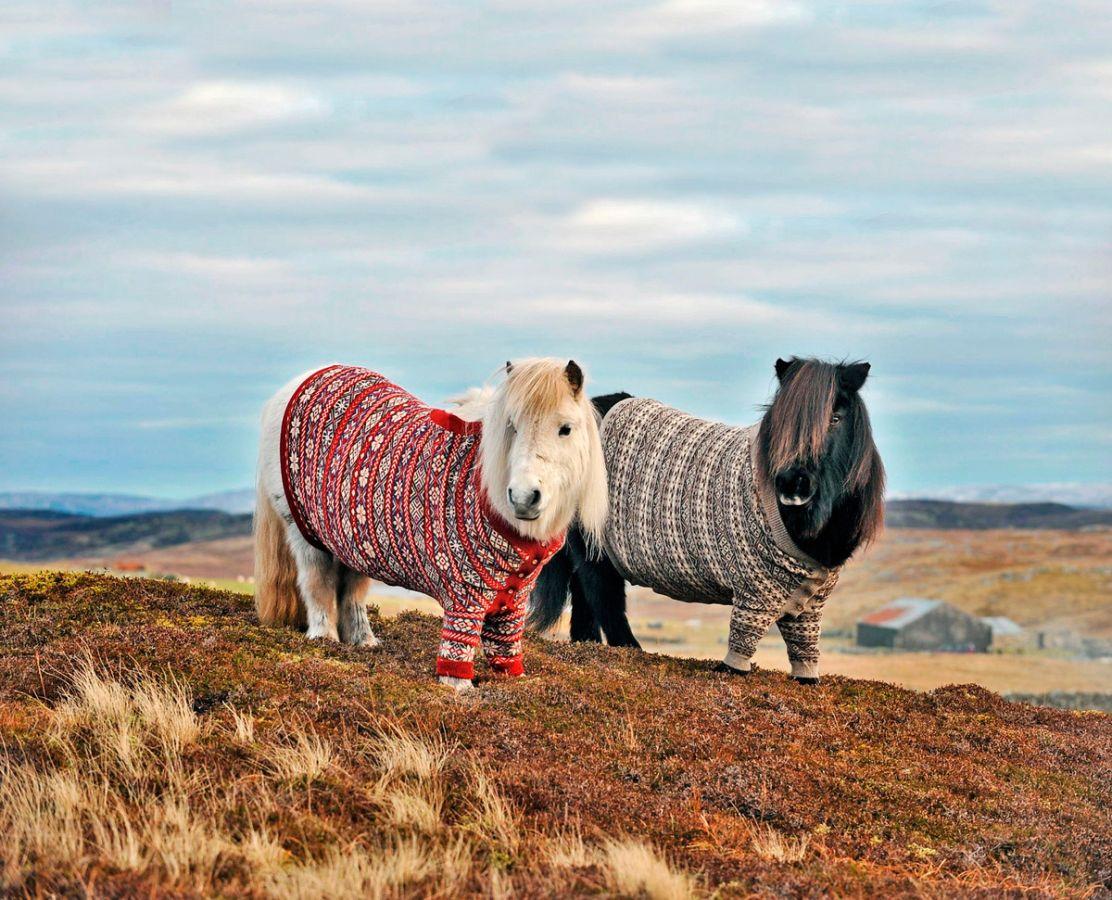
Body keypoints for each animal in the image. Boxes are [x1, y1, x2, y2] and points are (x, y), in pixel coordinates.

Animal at [254, 355, 609, 689]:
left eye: (566, 428)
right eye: (512, 426)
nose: (523, 497)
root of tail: (302, 381)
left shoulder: (513, 600)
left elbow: (505, 648)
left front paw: (513, 681)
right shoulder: (464, 595)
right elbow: (458, 649)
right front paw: (460, 688)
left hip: (351, 539)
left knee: (351, 592)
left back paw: (363, 642)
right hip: (304, 534)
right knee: (317, 584)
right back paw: (324, 640)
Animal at [529, 353, 885, 676]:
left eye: (836, 418)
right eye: (781, 419)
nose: (792, 483)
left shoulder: (810, 603)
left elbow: (804, 646)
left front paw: (807, 679)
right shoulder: (753, 591)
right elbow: (743, 641)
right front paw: (732, 670)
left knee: (586, 596)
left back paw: (587, 644)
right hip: (596, 548)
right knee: (603, 596)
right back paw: (631, 650)